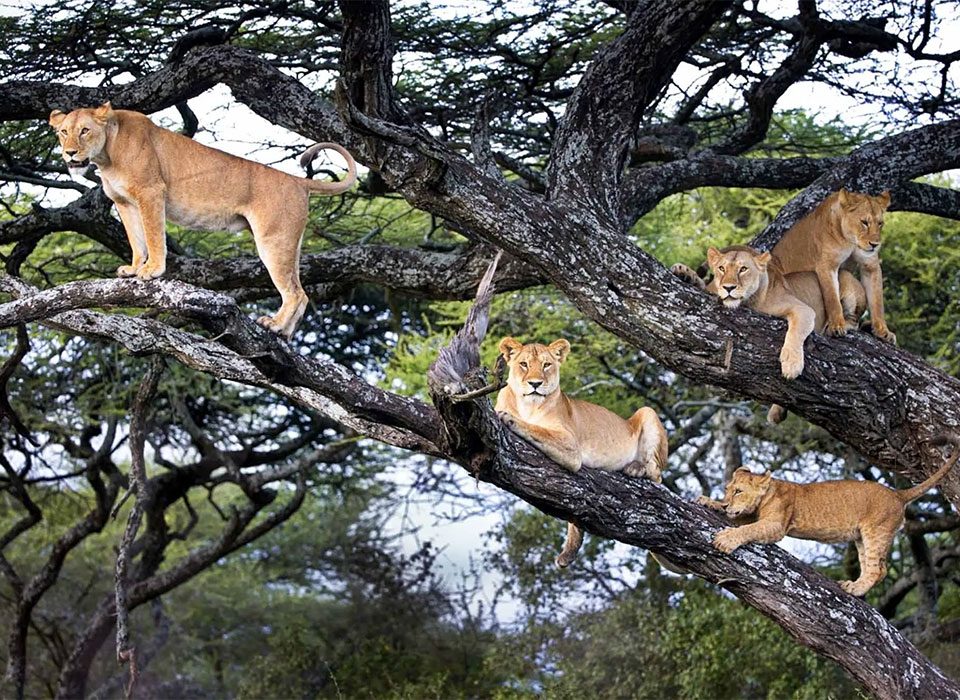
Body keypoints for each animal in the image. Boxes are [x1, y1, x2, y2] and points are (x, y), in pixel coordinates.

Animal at [48, 102, 357, 338]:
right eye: (63, 132)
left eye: (85, 130)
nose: (69, 153)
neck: (107, 155)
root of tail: (297, 181)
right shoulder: (125, 203)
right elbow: (136, 240)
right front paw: (134, 268)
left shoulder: (151, 192)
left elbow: (153, 236)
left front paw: (152, 270)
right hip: (289, 242)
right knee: (301, 291)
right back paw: (285, 333)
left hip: (273, 240)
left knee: (294, 292)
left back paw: (275, 325)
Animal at [495, 337, 668, 567]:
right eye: (524, 364)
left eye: (546, 365)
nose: (535, 384)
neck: (527, 405)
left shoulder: (571, 445)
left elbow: (537, 429)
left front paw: (509, 418)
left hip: (647, 412)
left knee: (657, 475)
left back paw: (636, 468)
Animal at [672, 245, 867, 422]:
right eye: (721, 268)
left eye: (743, 269)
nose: (728, 287)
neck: (748, 303)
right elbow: (703, 286)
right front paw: (684, 273)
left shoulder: (803, 309)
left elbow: (795, 332)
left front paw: (791, 365)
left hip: (847, 283)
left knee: (854, 320)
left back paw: (836, 328)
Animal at [697, 435, 959, 596]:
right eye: (728, 490)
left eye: (738, 491)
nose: (727, 503)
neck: (769, 492)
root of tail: (897, 494)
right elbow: (740, 520)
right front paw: (709, 502)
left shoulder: (776, 525)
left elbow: (747, 528)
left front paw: (725, 539)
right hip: (861, 537)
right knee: (875, 567)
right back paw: (854, 585)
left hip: (876, 531)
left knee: (878, 569)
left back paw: (855, 589)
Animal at [772, 188, 894, 343]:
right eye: (864, 222)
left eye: (880, 223)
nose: (875, 244)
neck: (851, 241)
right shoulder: (827, 265)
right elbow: (832, 299)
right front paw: (836, 326)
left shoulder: (870, 266)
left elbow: (877, 302)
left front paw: (883, 331)